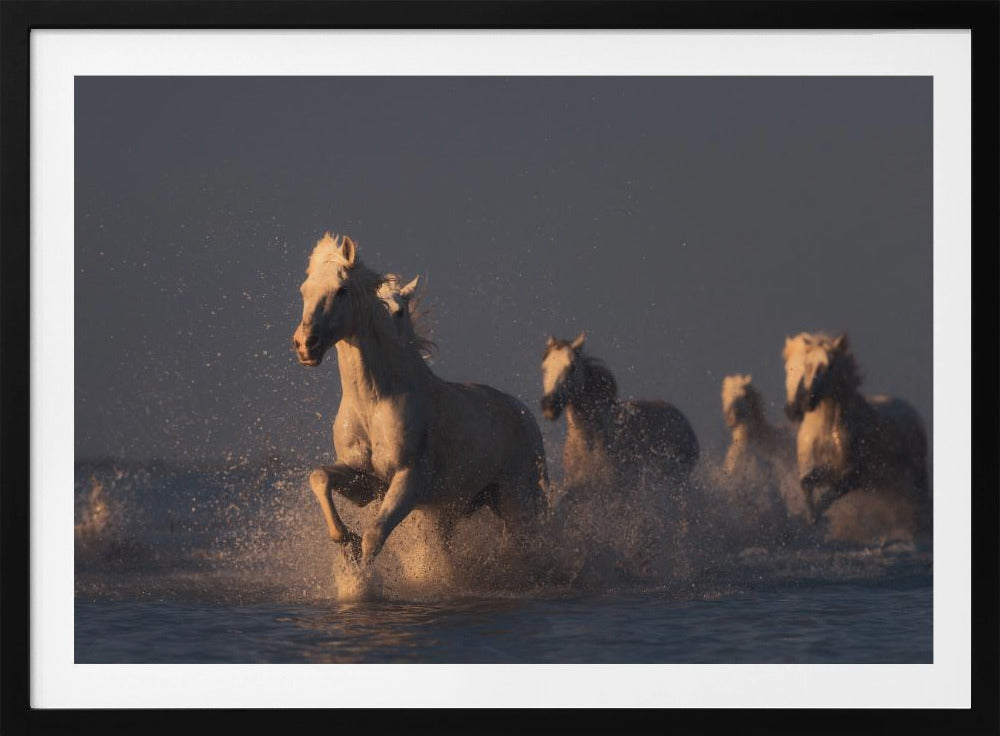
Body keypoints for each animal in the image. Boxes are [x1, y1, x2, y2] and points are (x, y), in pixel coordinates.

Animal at [292, 233, 549, 566]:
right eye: (304, 290)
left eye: (341, 290)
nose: (305, 345)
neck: (374, 402)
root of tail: (524, 414)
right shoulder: (366, 482)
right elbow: (320, 477)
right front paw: (345, 539)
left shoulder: (409, 480)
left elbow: (374, 536)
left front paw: (359, 569)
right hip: (457, 509)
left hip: (518, 499)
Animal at [782, 332, 930, 541]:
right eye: (807, 365)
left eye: (830, 365)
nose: (806, 403)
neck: (827, 431)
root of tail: (911, 409)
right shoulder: (825, 469)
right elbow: (807, 483)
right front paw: (811, 518)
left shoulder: (855, 475)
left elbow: (831, 493)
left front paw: (818, 518)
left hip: (914, 477)